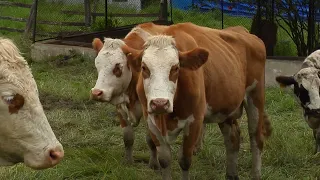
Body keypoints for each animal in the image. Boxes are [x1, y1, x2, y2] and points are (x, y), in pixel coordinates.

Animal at [121, 23, 272, 179]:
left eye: (176, 68)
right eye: (144, 67)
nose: (160, 103)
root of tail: (245, 32)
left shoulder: (194, 122)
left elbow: (185, 160)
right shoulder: (151, 121)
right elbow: (164, 160)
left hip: (256, 97)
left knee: (256, 138)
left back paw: (256, 174)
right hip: (225, 108)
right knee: (233, 139)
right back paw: (231, 174)